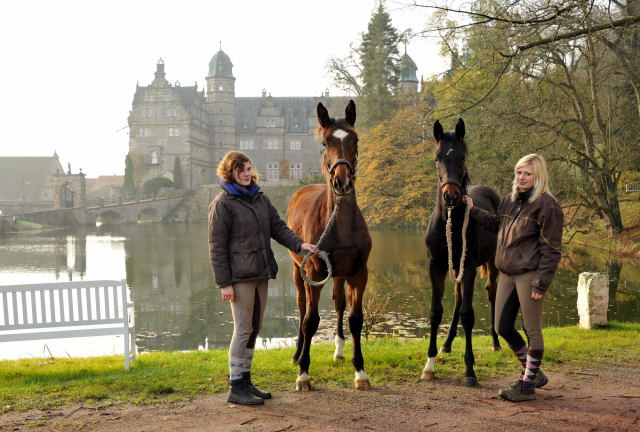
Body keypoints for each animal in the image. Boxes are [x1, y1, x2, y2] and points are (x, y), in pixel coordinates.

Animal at [288, 100, 372, 392]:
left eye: (355, 139)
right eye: (325, 143)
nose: (342, 181)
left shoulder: (358, 272)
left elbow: (355, 319)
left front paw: (360, 372)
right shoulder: (313, 272)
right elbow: (311, 321)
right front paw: (303, 373)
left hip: (337, 274)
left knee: (338, 303)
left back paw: (338, 350)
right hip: (298, 271)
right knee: (302, 308)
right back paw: (297, 354)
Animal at [422, 117, 502, 384]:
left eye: (463, 156)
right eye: (437, 157)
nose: (451, 197)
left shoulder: (468, 268)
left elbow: (469, 315)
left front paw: (470, 369)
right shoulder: (436, 266)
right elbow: (436, 312)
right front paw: (429, 364)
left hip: (491, 266)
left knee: (491, 294)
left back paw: (496, 342)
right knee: (457, 299)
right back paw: (447, 344)